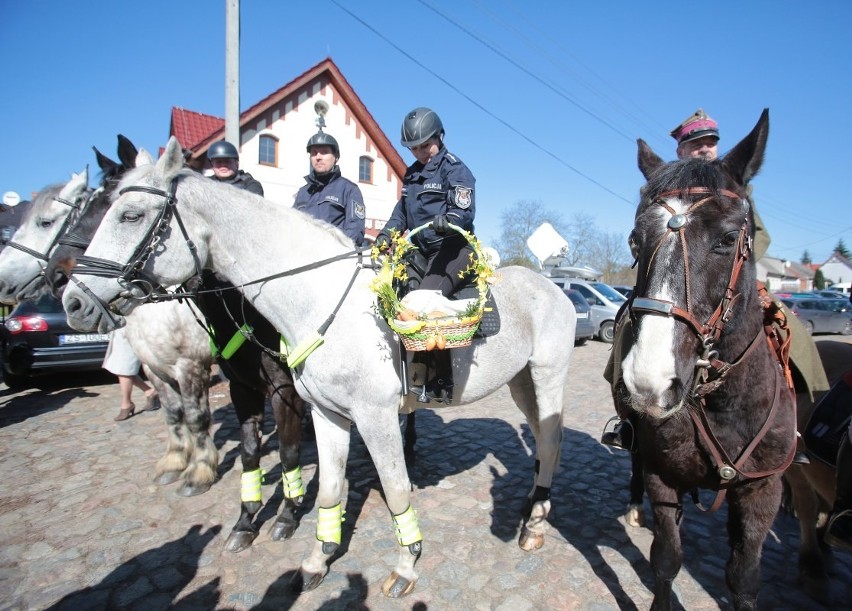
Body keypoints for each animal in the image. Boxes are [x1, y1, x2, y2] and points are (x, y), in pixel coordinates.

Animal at [63, 135, 576, 596]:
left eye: (130, 214)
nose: (73, 302)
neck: (321, 300)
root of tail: (552, 286)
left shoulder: (375, 418)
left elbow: (396, 489)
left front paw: (405, 565)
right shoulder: (326, 414)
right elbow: (328, 487)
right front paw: (317, 558)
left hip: (547, 377)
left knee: (551, 441)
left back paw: (534, 526)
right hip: (521, 384)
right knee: (539, 440)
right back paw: (533, 506)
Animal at [612, 110, 800, 611]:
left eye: (729, 238)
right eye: (635, 240)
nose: (649, 382)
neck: (723, 401)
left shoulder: (761, 491)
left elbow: (743, 577)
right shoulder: (662, 476)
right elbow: (666, 560)